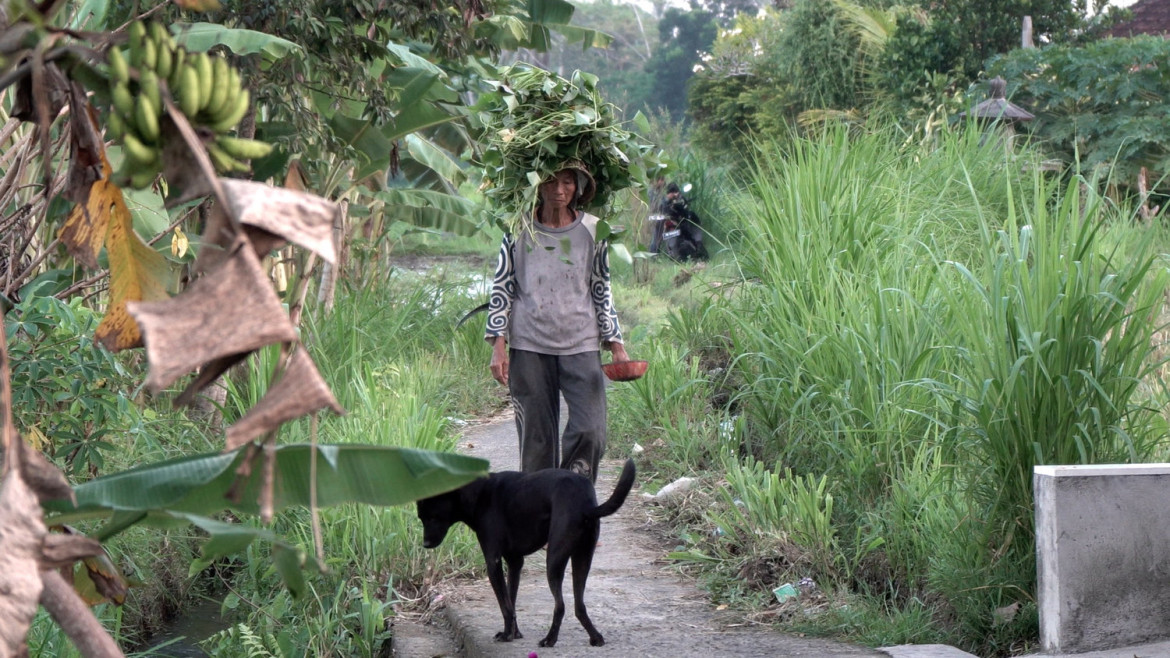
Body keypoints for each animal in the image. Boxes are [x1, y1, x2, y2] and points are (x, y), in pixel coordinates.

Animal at [416, 456, 636, 646]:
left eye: (432, 517)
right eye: (421, 518)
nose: (425, 544)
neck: (478, 493)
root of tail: (586, 505)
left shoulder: (493, 562)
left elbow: (505, 605)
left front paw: (507, 635)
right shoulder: (514, 563)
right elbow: (511, 600)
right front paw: (513, 632)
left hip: (554, 561)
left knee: (560, 605)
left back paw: (550, 639)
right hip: (582, 559)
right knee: (579, 605)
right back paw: (595, 637)